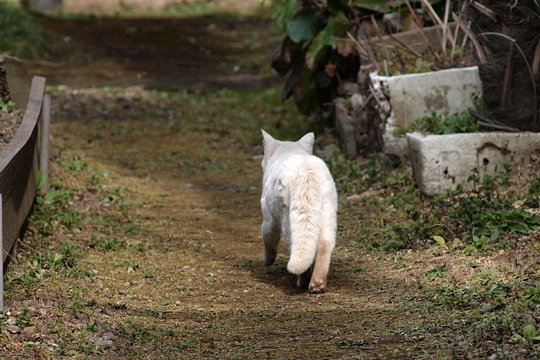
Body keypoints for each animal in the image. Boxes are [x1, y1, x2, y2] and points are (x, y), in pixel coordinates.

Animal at [258, 129, 338, 292]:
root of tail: (306, 174)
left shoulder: (269, 218)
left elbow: (268, 238)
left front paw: (268, 261)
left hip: (288, 222)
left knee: (298, 248)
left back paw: (303, 282)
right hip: (328, 213)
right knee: (324, 244)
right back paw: (317, 284)